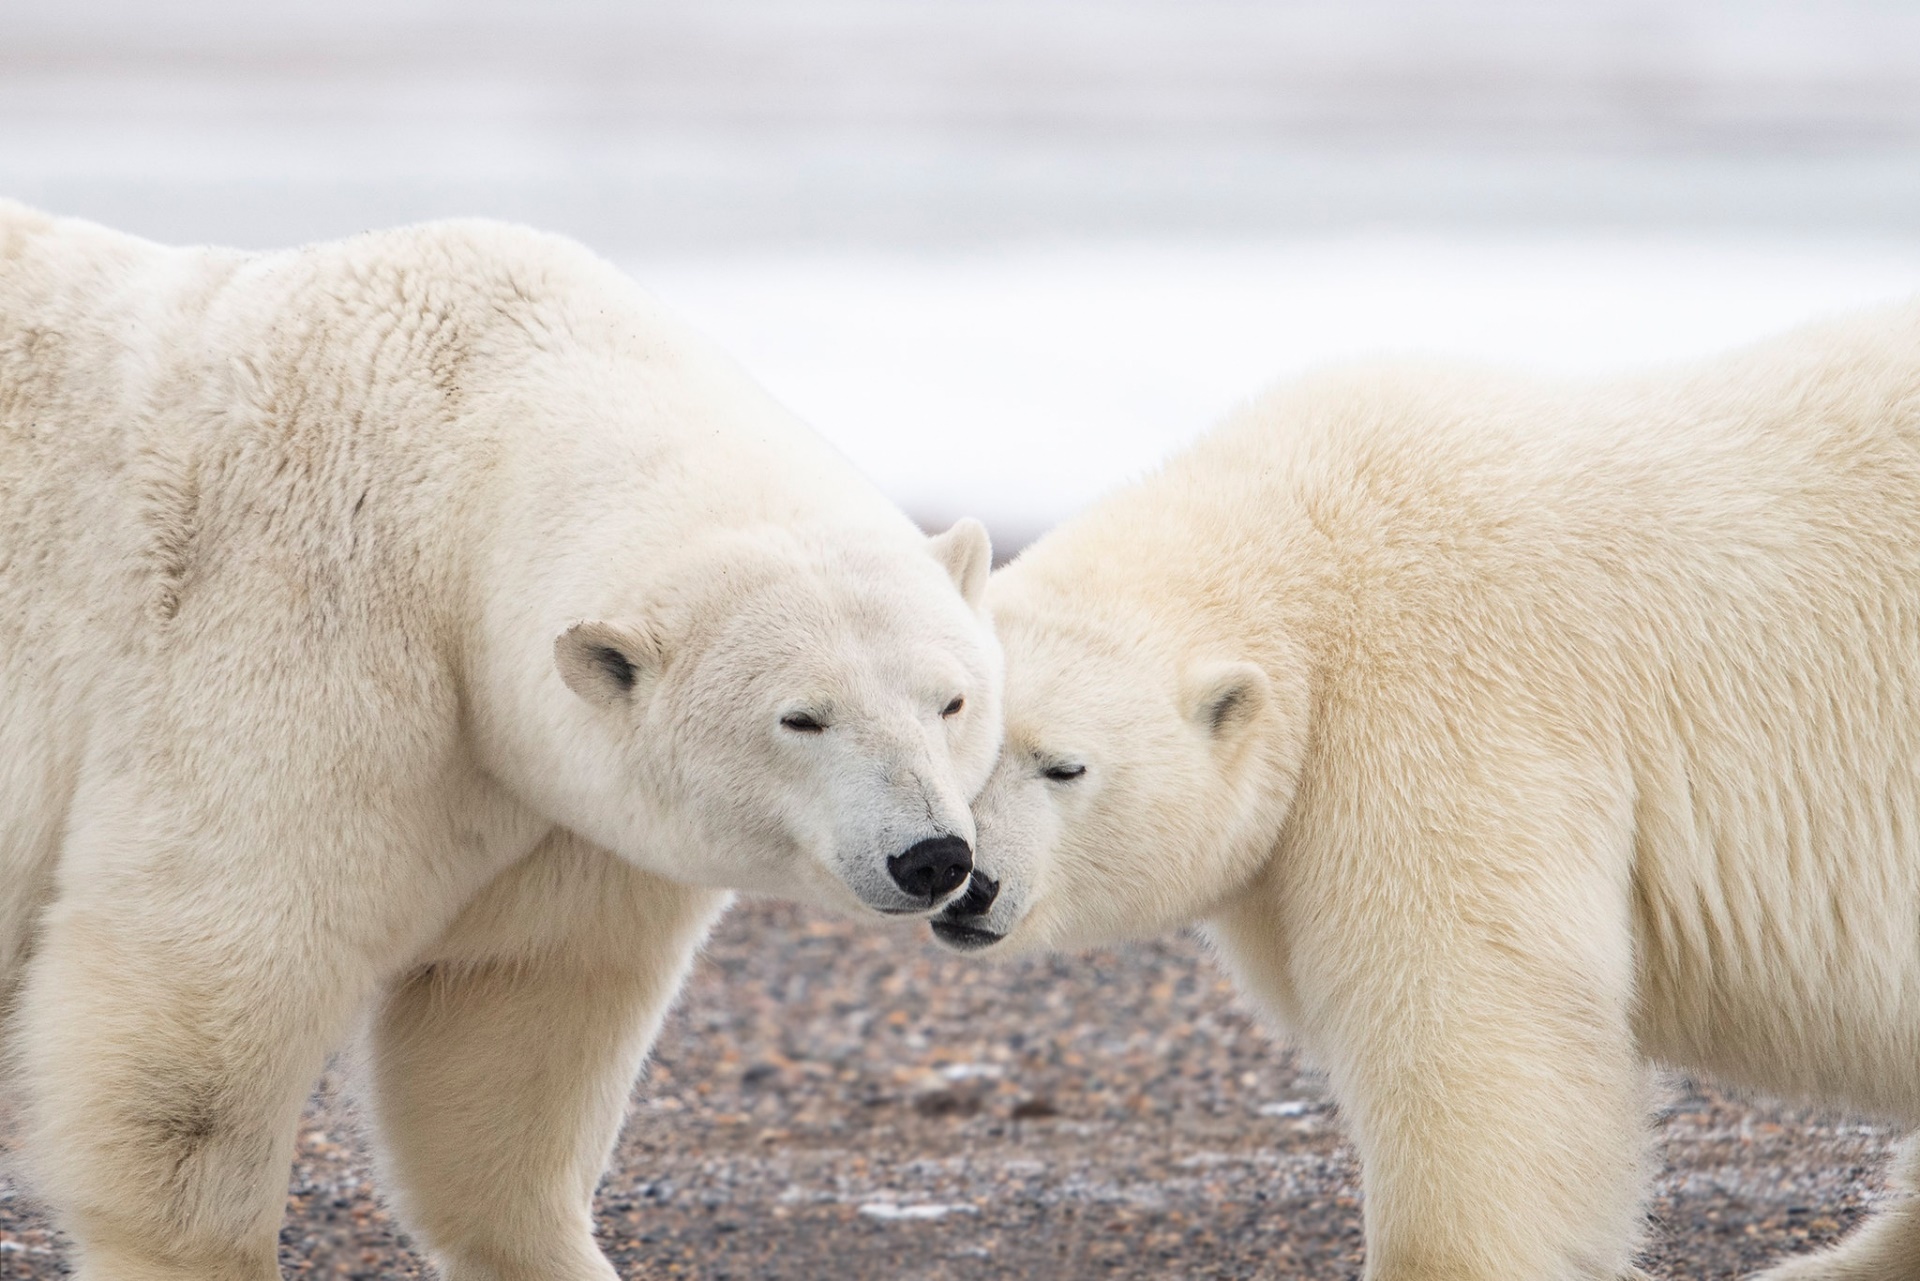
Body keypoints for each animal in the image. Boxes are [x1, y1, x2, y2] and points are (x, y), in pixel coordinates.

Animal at [0, 202, 1013, 1281]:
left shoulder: (555, 806)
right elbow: (210, 978)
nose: (931, 855)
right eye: (803, 717)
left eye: (950, 702)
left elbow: (513, 1023)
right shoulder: (295, 631)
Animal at [936, 311, 1920, 1281]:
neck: (1313, 544)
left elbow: (1465, 1008)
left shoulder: (1441, 707)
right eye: (952, 742)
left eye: (1062, 765)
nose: (968, 884)